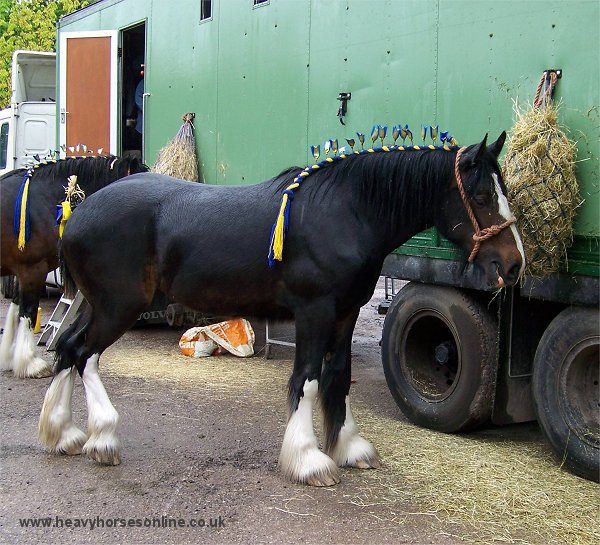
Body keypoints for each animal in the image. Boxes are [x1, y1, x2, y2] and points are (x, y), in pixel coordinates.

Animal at [0, 155, 148, 378]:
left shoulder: (23, 271)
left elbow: (16, 308)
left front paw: (10, 358)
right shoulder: (32, 270)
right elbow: (27, 310)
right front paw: (31, 363)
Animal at [38, 134, 524, 486]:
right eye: (482, 195)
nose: (514, 264)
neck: (345, 211)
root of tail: (78, 213)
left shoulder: (346, 315)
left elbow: (338, 379)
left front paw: (348, 448)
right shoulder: (315, 312)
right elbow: (306, 382)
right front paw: (309, 460)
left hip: (98, 305)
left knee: (66, 347)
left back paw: (63, 434)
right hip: (117, 307)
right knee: (84, 355)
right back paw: (103, 439)